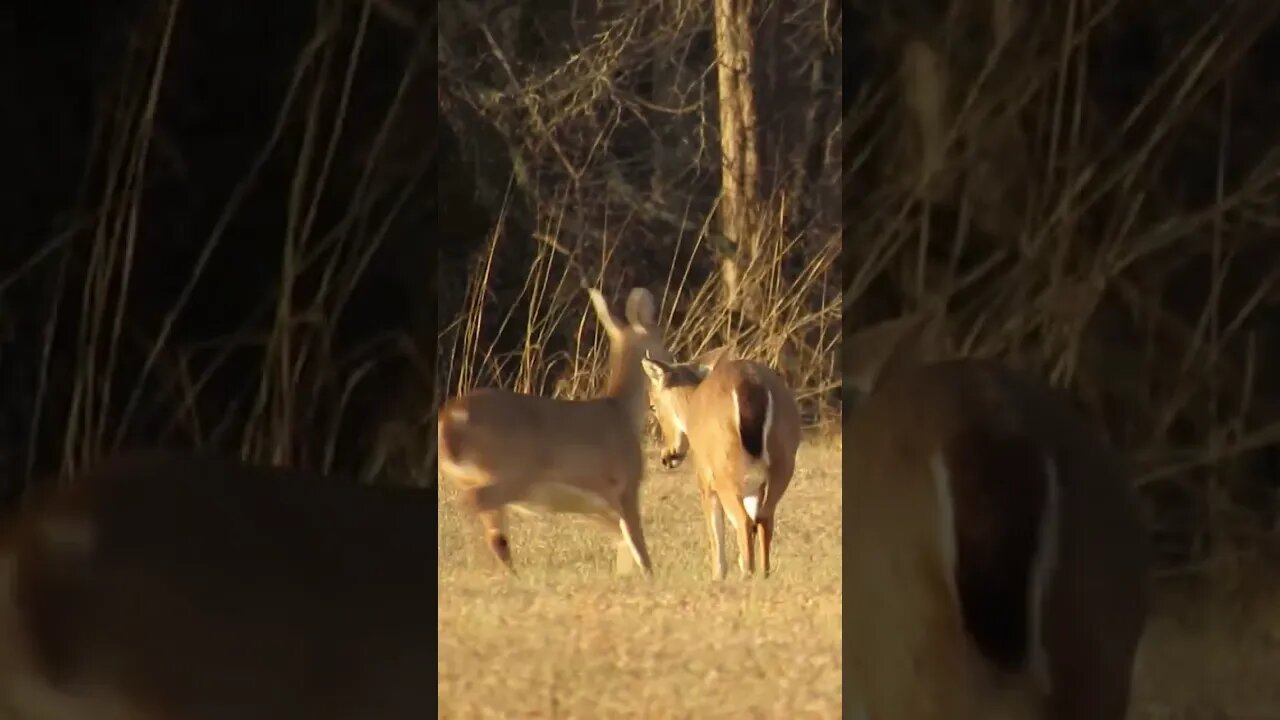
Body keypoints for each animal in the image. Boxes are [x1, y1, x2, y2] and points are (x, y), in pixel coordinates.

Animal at [437, 286, 672, 575]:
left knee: (495, 536)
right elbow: (638, 544)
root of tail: (449, 420)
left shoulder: (594, 504)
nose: (671, 361)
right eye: (662, 339)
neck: (623, 412)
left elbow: (622, 540)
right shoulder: (625, 484)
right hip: (511, 474)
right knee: (471, 505)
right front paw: (650, 576)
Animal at [640, 349, 802, 580]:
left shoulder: (705, 481)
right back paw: (763, 575)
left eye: (653, 405)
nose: (668, 456)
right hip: (781, 469)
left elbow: (716, 530)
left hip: (726, 476)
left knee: (744, 521)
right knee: (764, 519)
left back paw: (747, 577)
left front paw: (718, 577)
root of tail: (751, 386)